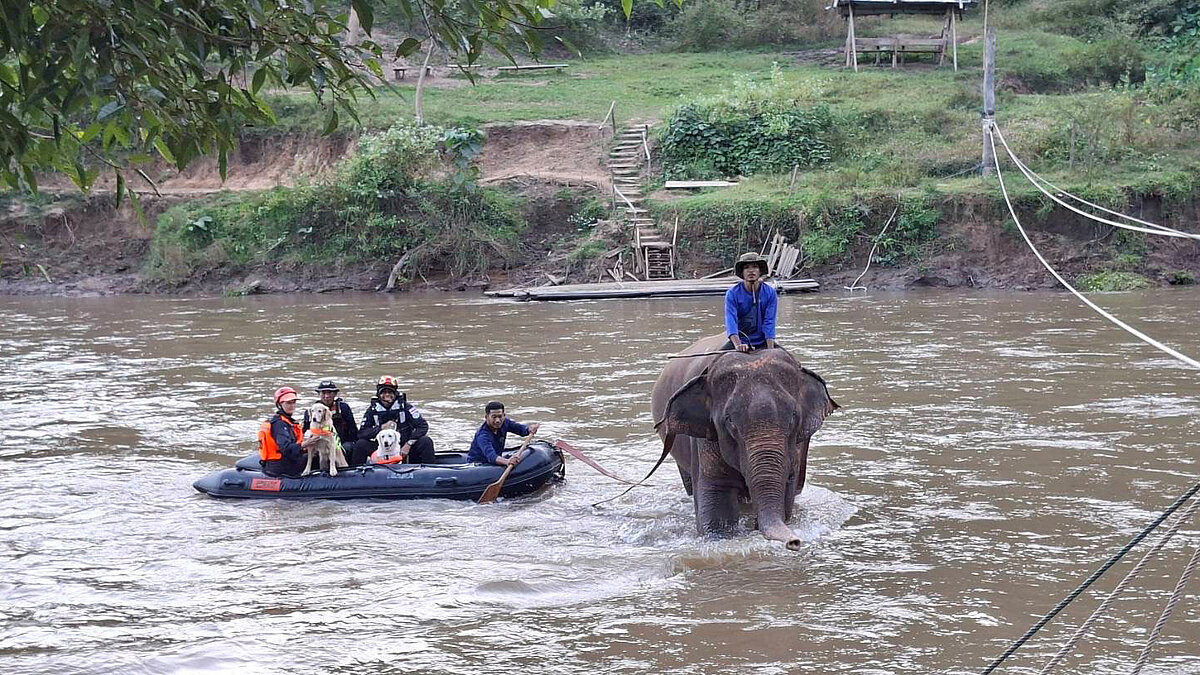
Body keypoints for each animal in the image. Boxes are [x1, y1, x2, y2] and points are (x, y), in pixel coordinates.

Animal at [651, 333, 839, 550]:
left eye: (793, 417)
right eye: (730, 421)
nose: (795, 542)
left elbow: (787, 491)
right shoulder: (705, 439)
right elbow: (716, 497)